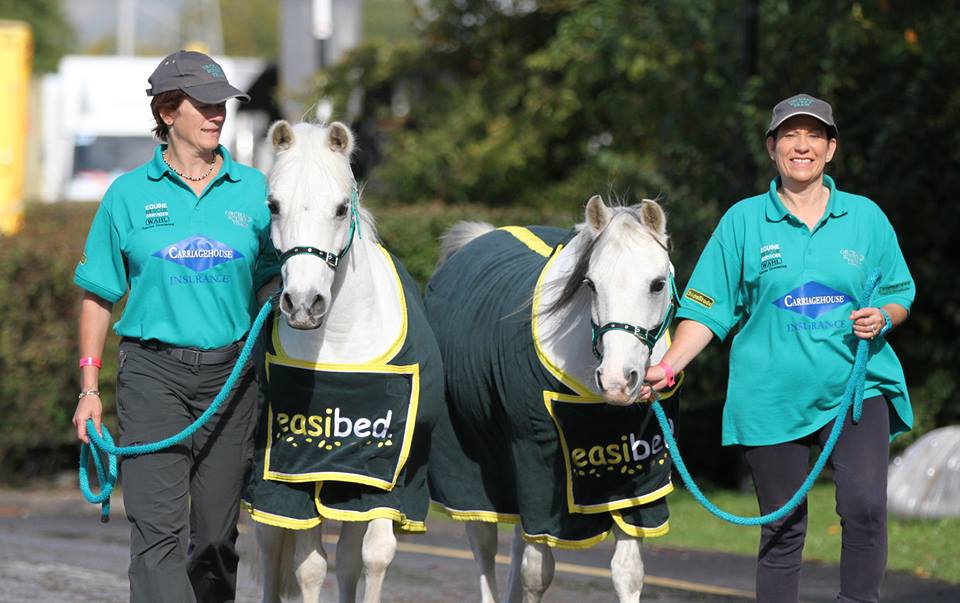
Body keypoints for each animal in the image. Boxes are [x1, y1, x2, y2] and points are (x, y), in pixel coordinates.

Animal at [242, 120, 444, 602]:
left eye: (340, 208)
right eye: (273, 206)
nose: (302, 304)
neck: (340, 345)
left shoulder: (392, 473)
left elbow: (375, 556)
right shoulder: (292, 475)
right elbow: (310, 566)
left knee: (350, 558)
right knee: (271, 545)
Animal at [424, 196, 682, 603]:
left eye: (657, 284)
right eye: (591, 283)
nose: (617, 381)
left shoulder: (642, 480)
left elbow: (628, 572)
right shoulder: (538, 465)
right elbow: (536, 573)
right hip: (472, 467)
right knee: (484, 545)